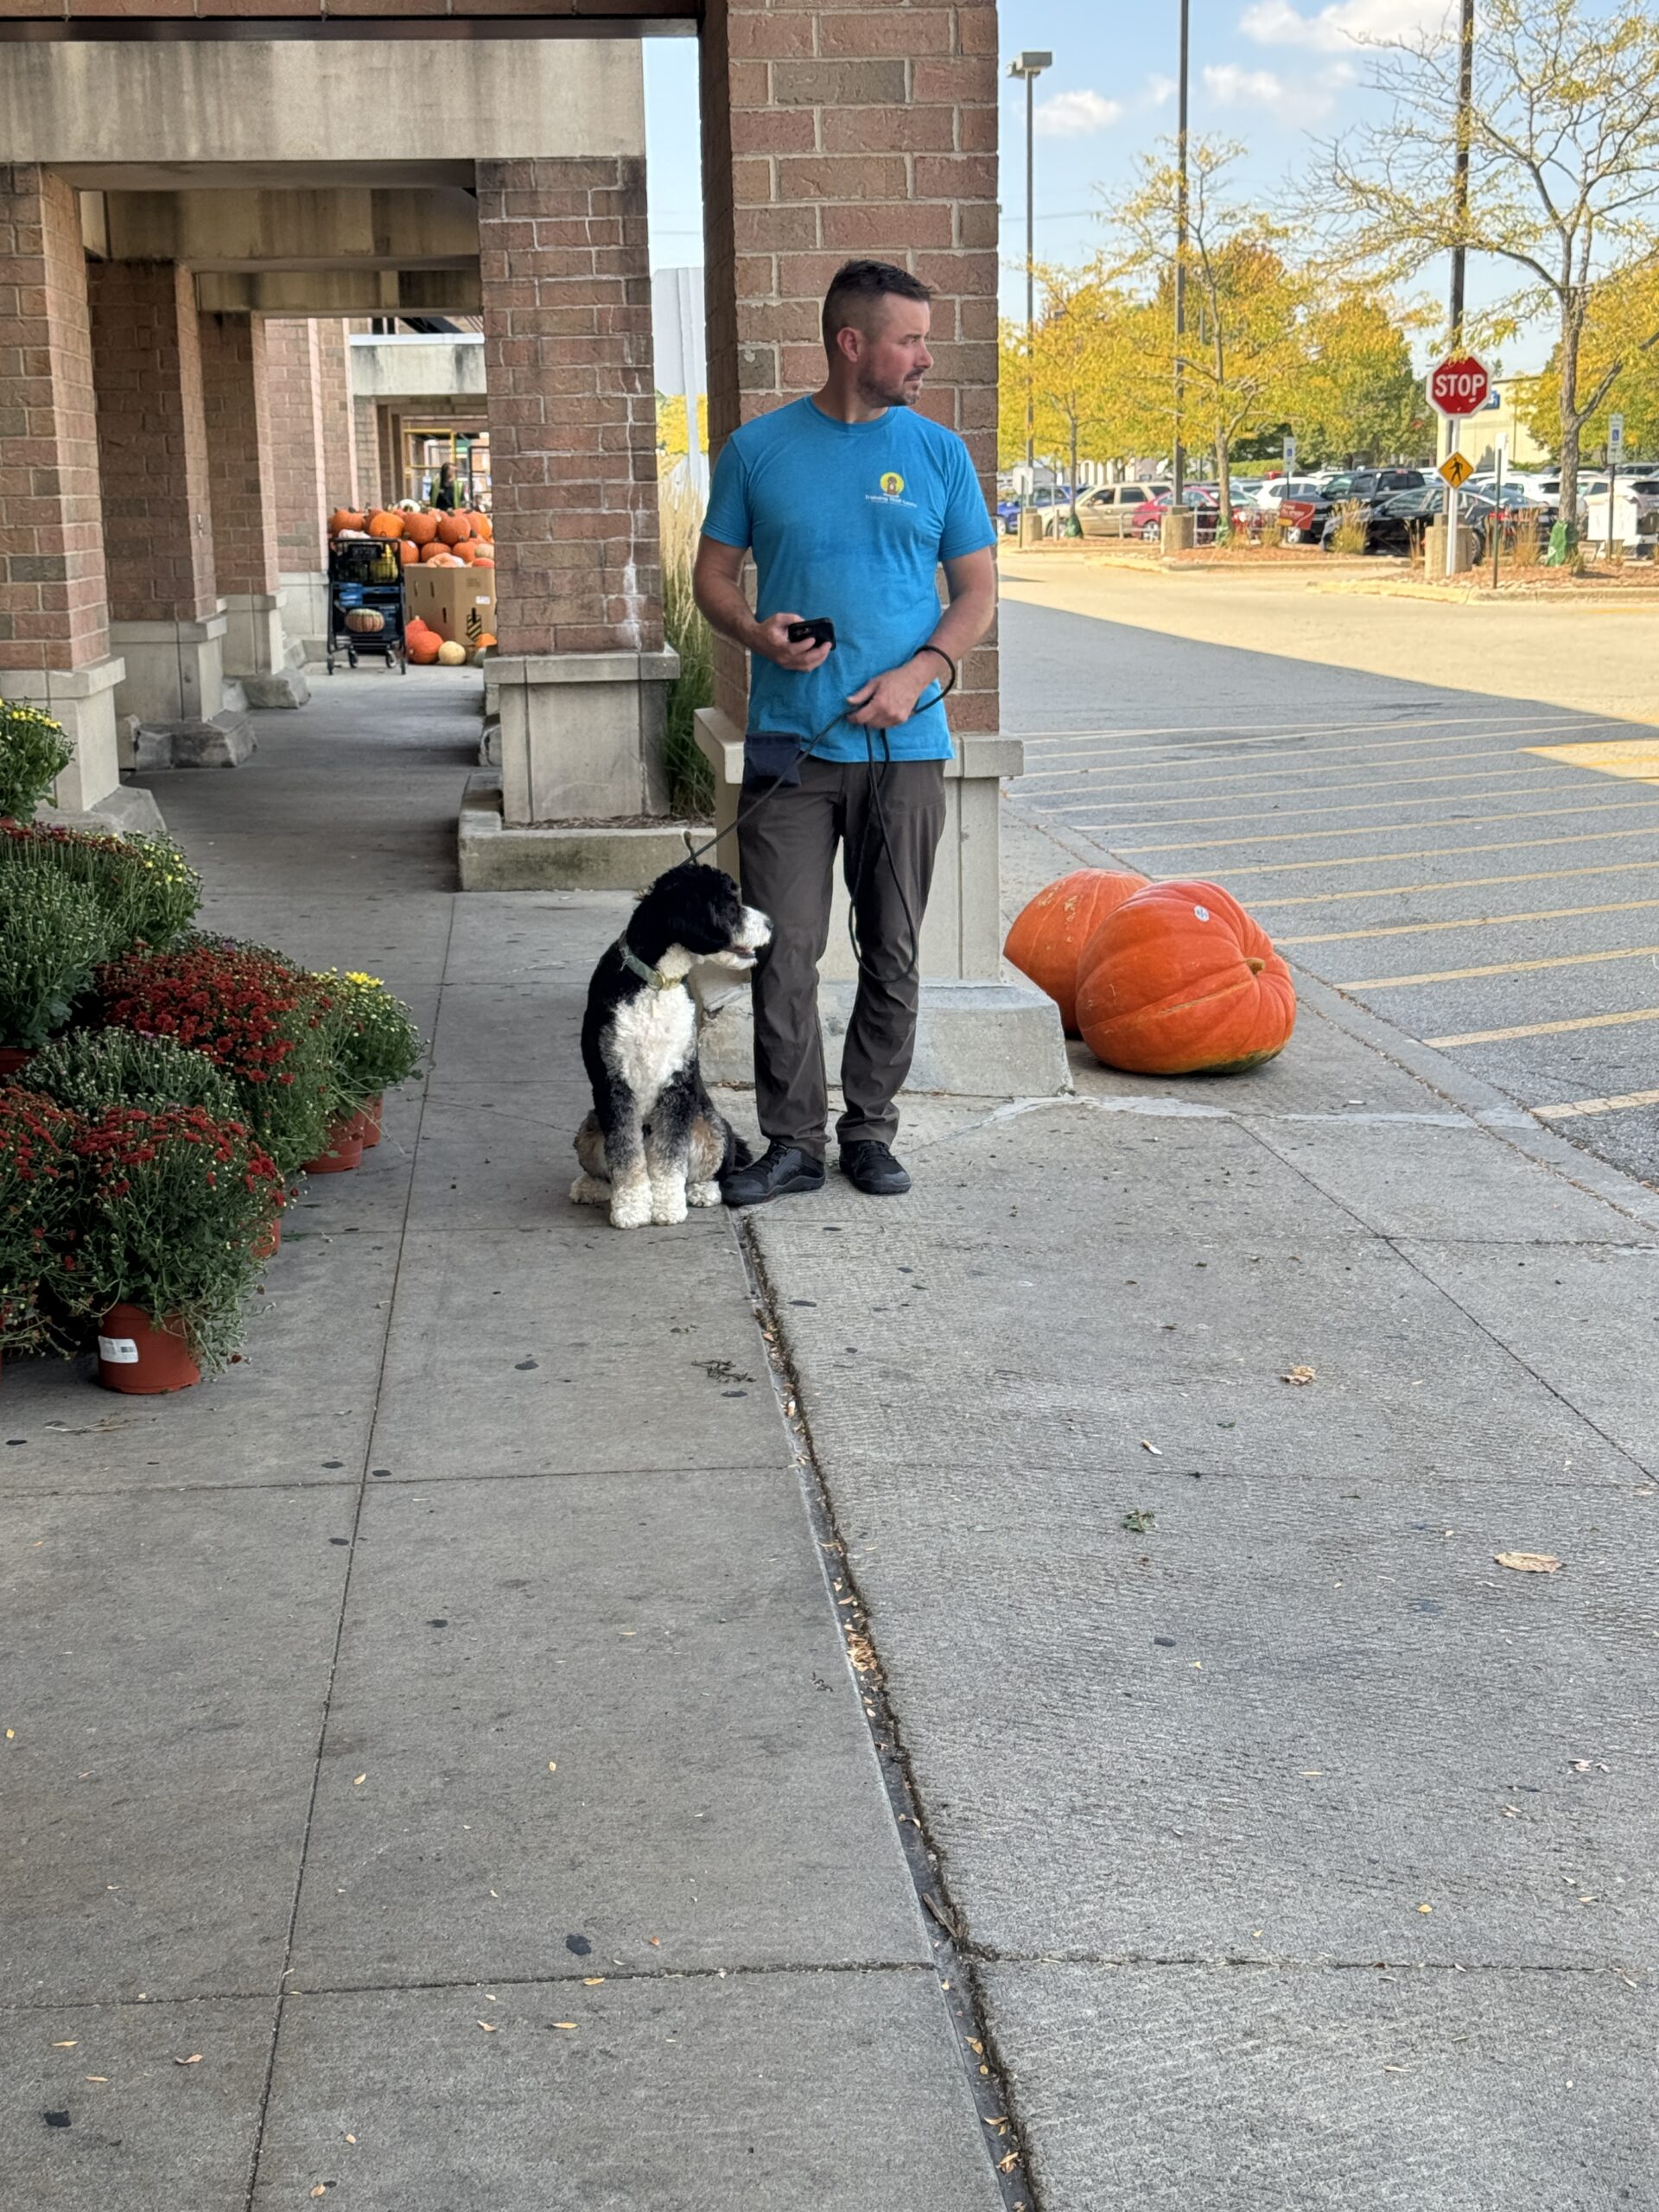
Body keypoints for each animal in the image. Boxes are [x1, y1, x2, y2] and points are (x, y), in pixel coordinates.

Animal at [570, 858, 774, 1230]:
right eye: (731, 905)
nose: (770, 924)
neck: (656, 982)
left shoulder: (678, 1082)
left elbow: (670, 1156)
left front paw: (666, 1206)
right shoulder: (613, 1083)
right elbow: (623, 1153)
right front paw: (632, 1207)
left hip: (711, 1126)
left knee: (709, 1167)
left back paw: (702, 1190)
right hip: (590, 1126)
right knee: (608, 1165)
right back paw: (591, 1187)